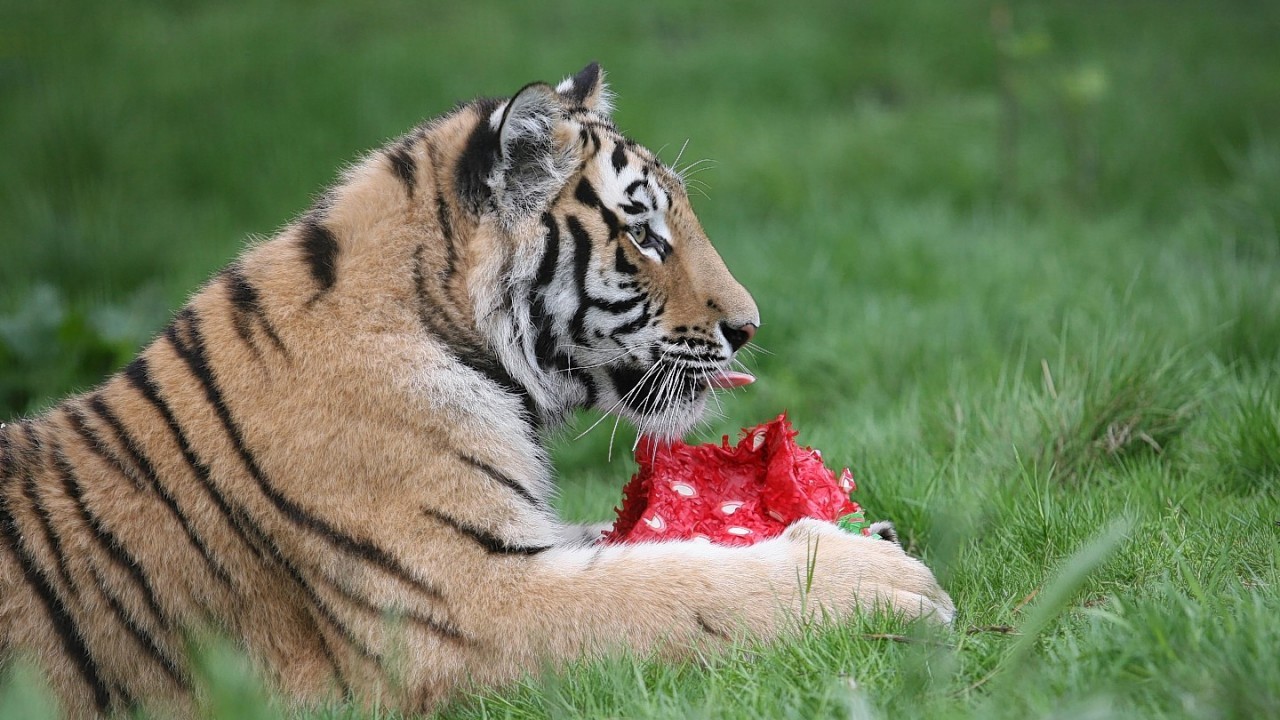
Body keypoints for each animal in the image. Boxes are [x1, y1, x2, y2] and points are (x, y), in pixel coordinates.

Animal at [0, 64, 952, 712]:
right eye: (645, 233)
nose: (749, 326)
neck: (440, 322)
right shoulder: (469, 601)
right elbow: (680, 589)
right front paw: (891, 582)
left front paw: (872, 533)